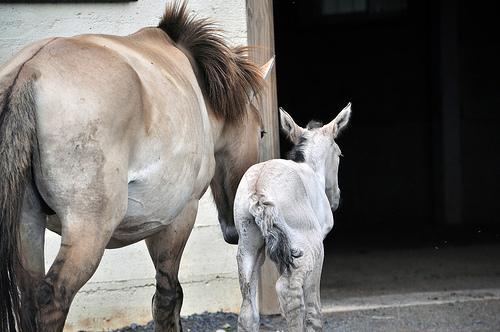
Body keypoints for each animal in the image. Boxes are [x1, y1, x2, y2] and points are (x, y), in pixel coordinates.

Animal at [0, 2, 274, 332]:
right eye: (261, 132)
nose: (236, 231)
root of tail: (29, 71)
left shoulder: (153, 221)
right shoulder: (178, 217)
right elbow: (169, 297)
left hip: (27, 224)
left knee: (29, 298)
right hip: (87, 231)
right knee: (52, 299)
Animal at [234, 102, 352, 330]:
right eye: (340, 155)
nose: (336, 198)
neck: (311, 170)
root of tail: (258, 190)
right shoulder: (317, 248)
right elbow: (311, 304)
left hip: (248, 247)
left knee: (247, 311)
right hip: (308, 247)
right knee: (290, 292)